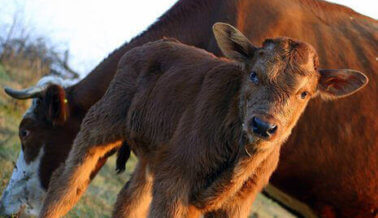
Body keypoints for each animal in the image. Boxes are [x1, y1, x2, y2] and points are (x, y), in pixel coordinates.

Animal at [1, 0, 376, 216]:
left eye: (25, 131)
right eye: (253, 74)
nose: (7, 206)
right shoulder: (168, 170)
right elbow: (131, 202)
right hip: (102, 128)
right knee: (68, 184)